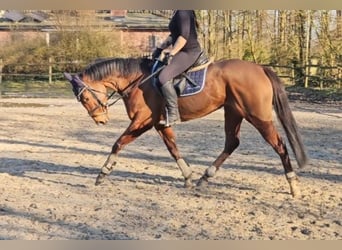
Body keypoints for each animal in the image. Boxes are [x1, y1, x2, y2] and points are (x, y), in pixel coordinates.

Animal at [63, 56, 308, 197]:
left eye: (85, 98)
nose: (100, 120)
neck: (138, 80)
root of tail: (260, 68)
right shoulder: (160, 123)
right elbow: (173, 148)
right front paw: (189, 177)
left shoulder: (143, 121)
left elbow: (118, 143)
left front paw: (103, 173)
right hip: (233, 112)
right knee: (232, 142)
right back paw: (205, 177)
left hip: (257, 116)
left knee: (279, 145)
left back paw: (294, 186)